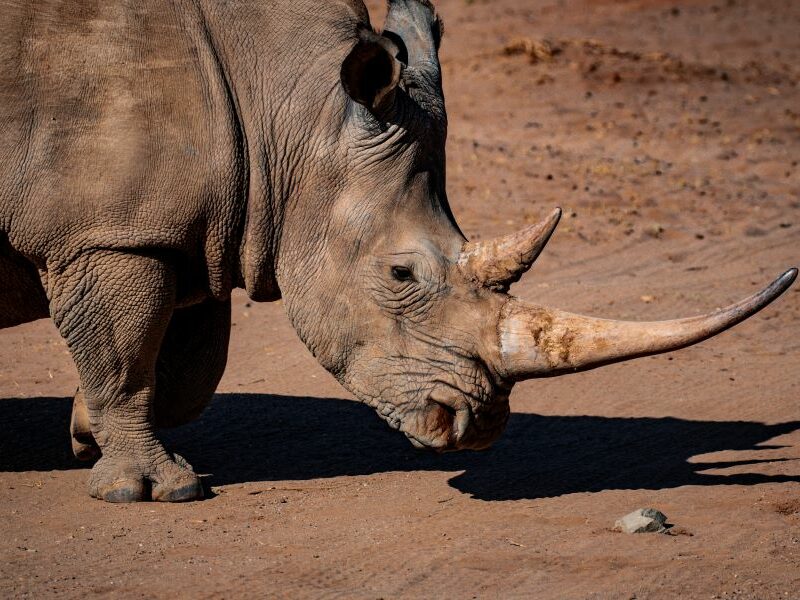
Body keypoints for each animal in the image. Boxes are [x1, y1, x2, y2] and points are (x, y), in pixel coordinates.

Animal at [0, 0, 795, 503]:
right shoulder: (110, 233)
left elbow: (186, 366)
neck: (287, 109)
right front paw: (156, 490)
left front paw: (82, 433)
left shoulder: (186, 226)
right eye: (400, 272)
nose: (477, 427)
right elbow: (125, 355)